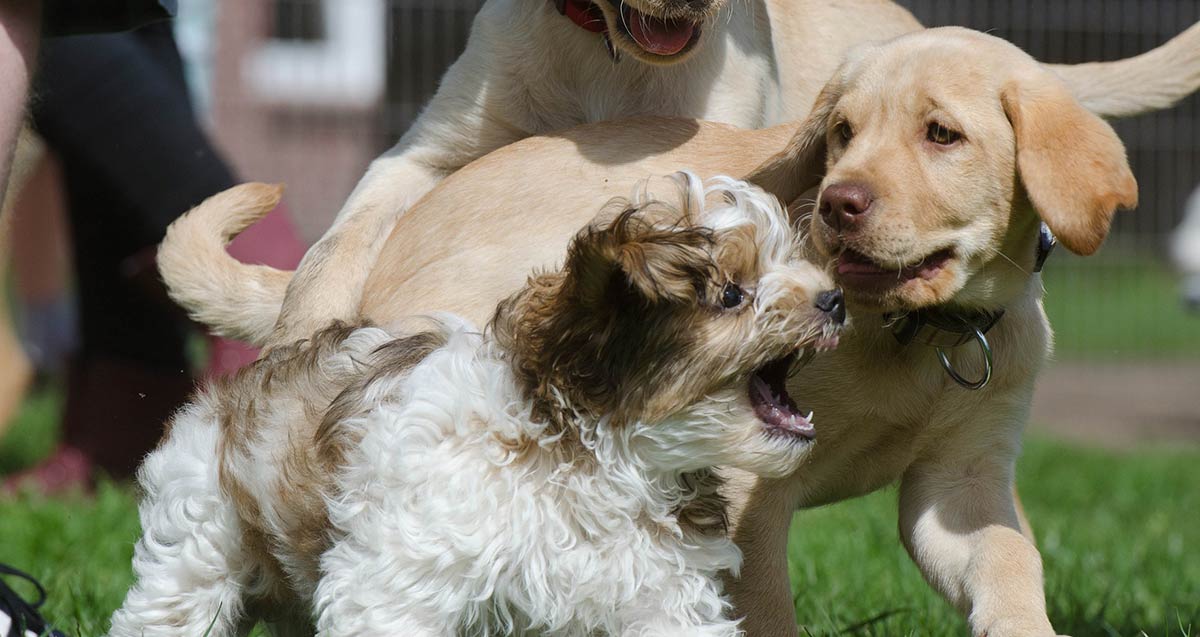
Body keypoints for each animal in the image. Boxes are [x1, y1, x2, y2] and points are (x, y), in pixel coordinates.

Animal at [110, 171, 844, 633]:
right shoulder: (400, 578)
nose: (835, 299)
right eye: (732, 295)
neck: (595, 453)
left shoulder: (663, 589)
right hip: (198, 540)